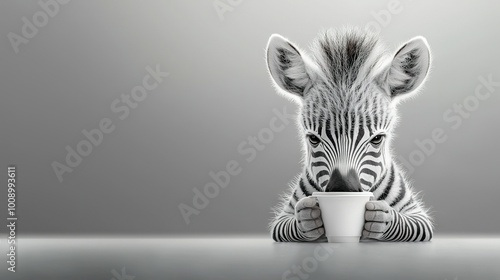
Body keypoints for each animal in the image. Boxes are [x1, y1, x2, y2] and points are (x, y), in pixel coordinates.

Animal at [266, 27, 434, 242]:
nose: (342, 190)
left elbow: (410, 224)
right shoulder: (283, 219)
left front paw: (380, 218)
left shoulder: (418, 217)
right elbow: (288, 224)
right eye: (313, 139)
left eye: (377, 139)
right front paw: (308, 218)